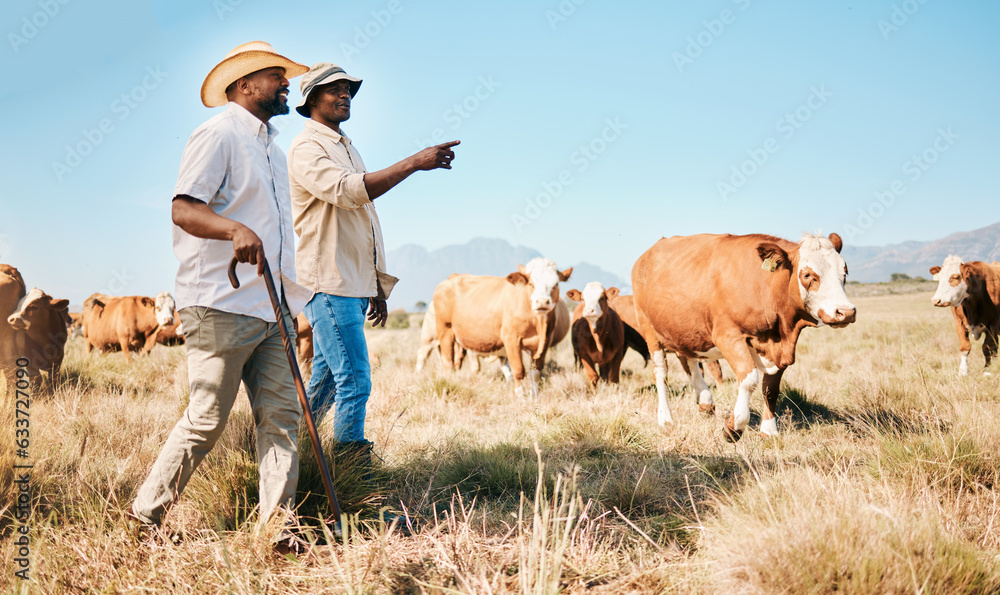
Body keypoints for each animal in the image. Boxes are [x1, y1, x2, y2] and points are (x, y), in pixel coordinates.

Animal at [430, 258, 572, 398]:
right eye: (531, 284)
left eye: (556, 284)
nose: (542, 302)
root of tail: (451, 279)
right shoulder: (511, 339)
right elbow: (518, 370)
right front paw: (521, 398)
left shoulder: (544, 343)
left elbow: (535, 373)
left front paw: (534, 397)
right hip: (445, 331)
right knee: (448, 363)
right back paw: (450, 382)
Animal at [636, 235, 856, 440]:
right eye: (808, 274)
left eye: (844, 272)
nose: (845, 312)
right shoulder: (728, 336)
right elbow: (749, 379)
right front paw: (734, 426)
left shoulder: (778, 349)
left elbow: (771, 389)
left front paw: (769, 431)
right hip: (651, 333)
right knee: (661, 374)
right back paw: (666, 418)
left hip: (686, 331)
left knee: (688, 362)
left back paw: (705, 402)